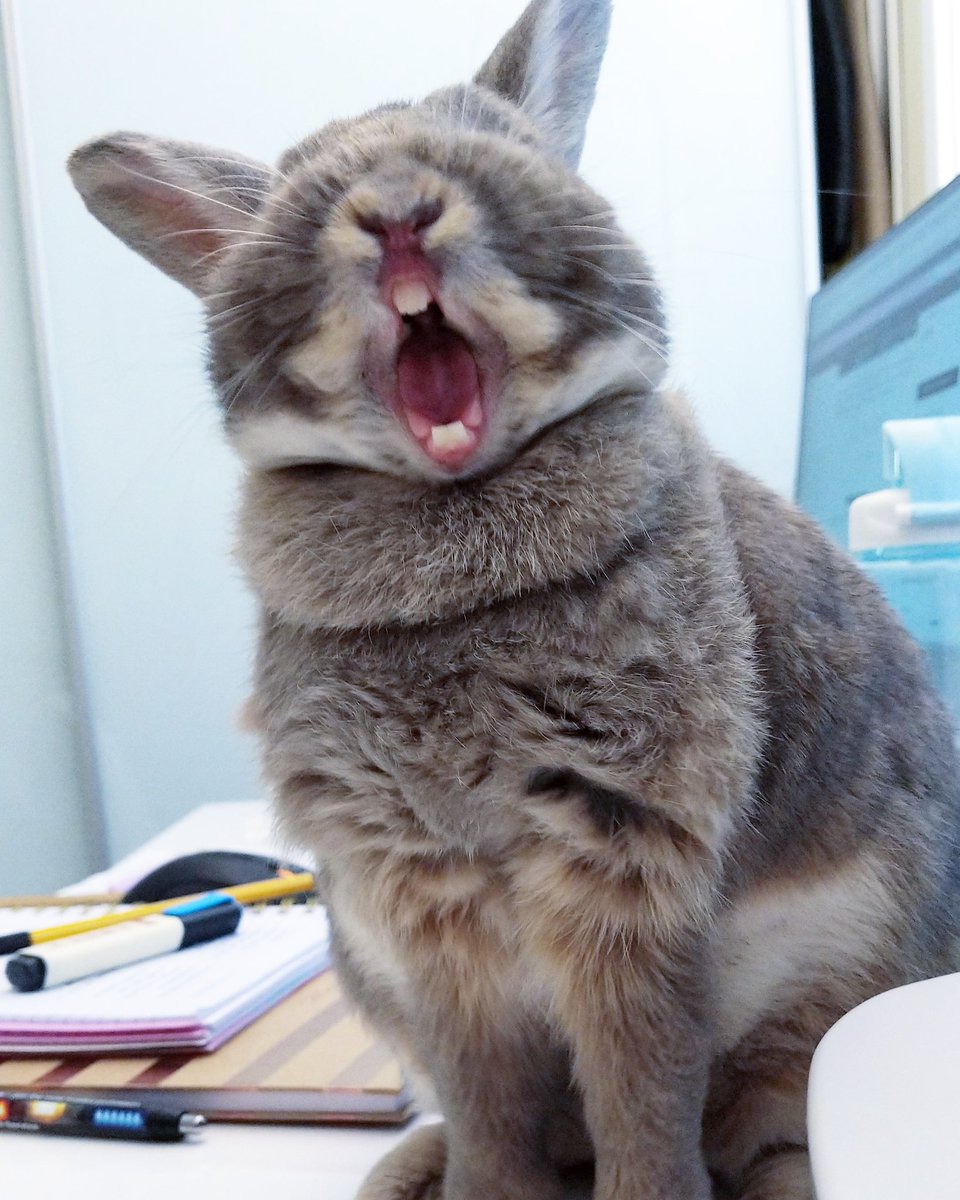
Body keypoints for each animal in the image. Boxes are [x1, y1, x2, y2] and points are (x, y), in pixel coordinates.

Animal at [67, 1, 960, 1197]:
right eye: (302, 184)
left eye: (506, 154)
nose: (396, 211)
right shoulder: (427, 910)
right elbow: (489, 1103)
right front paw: (481, 1193)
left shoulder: (628, 872)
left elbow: (642, 1095)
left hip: (812, 1023)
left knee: (755, 1135)